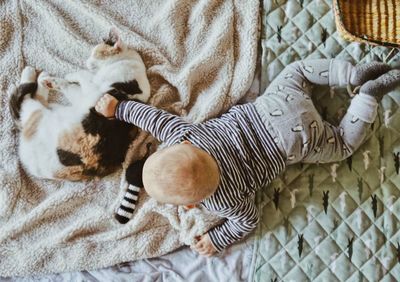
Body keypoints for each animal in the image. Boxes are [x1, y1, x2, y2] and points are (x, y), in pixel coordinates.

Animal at [9, 29, 151, 181]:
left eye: (94, 54)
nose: (86, 61)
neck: (126, 61)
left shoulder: (93, 90)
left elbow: (80, 77)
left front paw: (70, 76)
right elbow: (73, 83)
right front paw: (64, 79)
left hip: (36, 112)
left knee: (25, 100)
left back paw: (32, 75)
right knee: (39, 98)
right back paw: (44, 79)